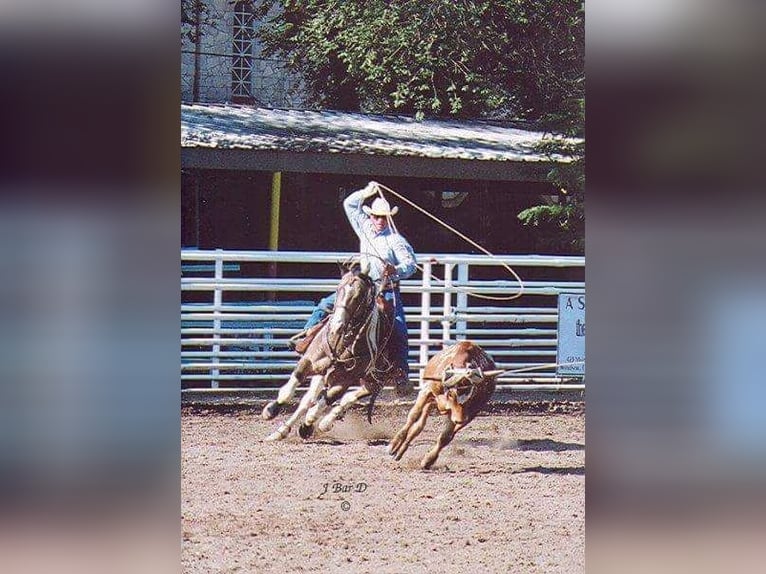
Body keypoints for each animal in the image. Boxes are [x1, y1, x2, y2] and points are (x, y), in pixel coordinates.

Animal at [262, 258, 400, 444]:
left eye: (359, 296)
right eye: (338, 289)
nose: (336, 326)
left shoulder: (344, 381)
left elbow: (322, 405)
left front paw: (307, 426)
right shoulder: (309, 361)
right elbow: (289, 391)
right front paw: (271, 410)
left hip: (373, 380)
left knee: (349, 397)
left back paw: (324, 423)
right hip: (323, 374)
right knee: (308, 400)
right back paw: (281, 431)